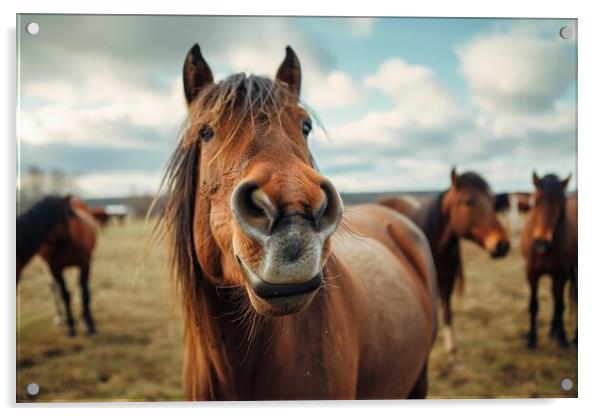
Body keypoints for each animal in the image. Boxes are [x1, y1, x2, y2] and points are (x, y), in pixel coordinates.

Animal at [16, 194, 97, 334]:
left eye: (73, 215)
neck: (67, 241)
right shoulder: (55, 267)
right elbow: (65, 294)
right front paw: (71, 327)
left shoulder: (84, 264)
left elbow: (84, 292)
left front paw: (89, 324)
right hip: (48, 266)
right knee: (54, 287)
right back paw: (59, 317)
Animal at [378, 167, 508, 356]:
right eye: (469, 202)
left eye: (493, 203)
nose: (502, 245)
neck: (437, 244)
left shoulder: (449, 281)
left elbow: (447, 313)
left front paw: (452, 350)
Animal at [516, 171, 576, 348]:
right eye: (536, 201)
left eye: (560, 204)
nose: (542, 241)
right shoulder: (531, 273)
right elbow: (533, 305)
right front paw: (531, 339)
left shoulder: (561, 274)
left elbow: (560, 305)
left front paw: (563, 337)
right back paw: (552, 330)